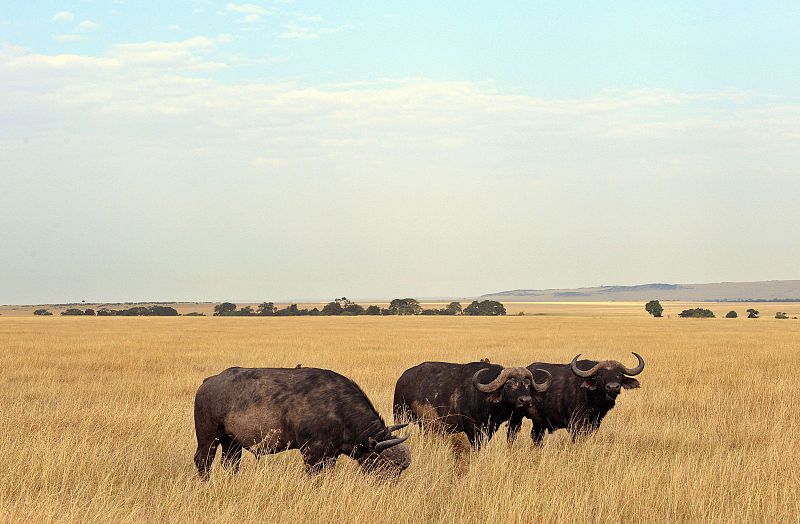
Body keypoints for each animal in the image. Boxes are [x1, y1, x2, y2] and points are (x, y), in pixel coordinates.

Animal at [191, 366, 410, 482]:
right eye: (388, 465)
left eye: (400, 469)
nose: (390, 485)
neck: (338, 408)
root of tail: (207, 382)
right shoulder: (311, 452)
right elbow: (314, 475)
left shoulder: (330, 454)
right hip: (209, 437)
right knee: (203, 460)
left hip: (232, 442)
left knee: (230, 463)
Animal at [392, 360, 552, 450]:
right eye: (509, 385)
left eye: (527, 385)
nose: (526, 400)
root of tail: (402, 378)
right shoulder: (472, 430)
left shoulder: (489, 429)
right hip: (400, 415)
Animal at [510, 352, 648, 446]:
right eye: (601, 374)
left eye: (619, 374)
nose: (613, 387)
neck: (592, 399)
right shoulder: (575, 423)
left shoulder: (594, 423)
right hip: (515, 416)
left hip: (538, 421)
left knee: (536, 436)